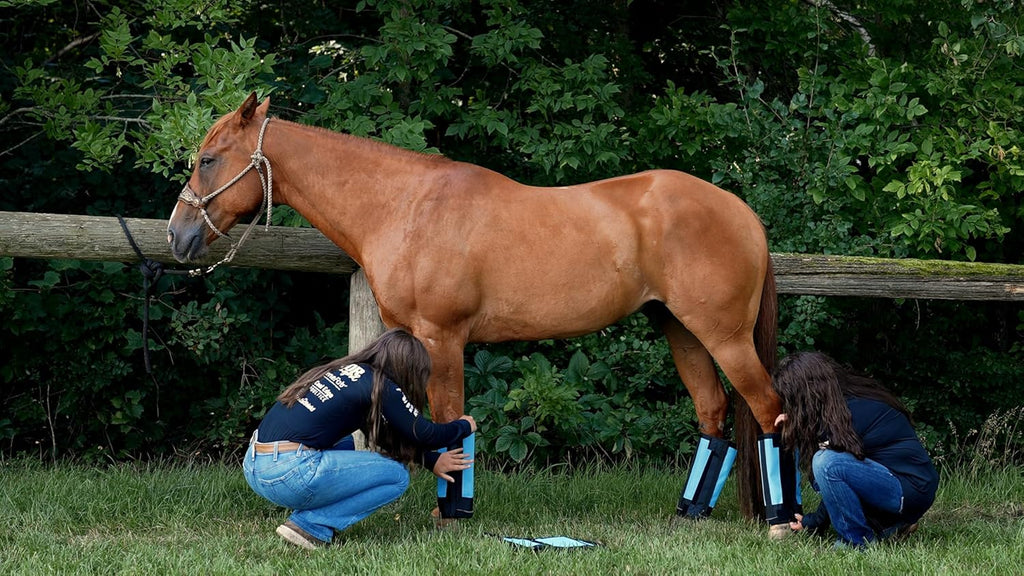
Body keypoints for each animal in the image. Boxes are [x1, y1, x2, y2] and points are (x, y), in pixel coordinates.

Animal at [166, 94, 798, 536]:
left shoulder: (442, 339)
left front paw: (452, 517)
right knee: (714, 415)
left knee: (769, 410)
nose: (178, 235)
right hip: (681, 331)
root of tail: (743, 212)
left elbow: (453, 421)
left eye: (208, 159)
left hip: (724, 336)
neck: (406, 205)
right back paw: (689, 514)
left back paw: (782, 522)